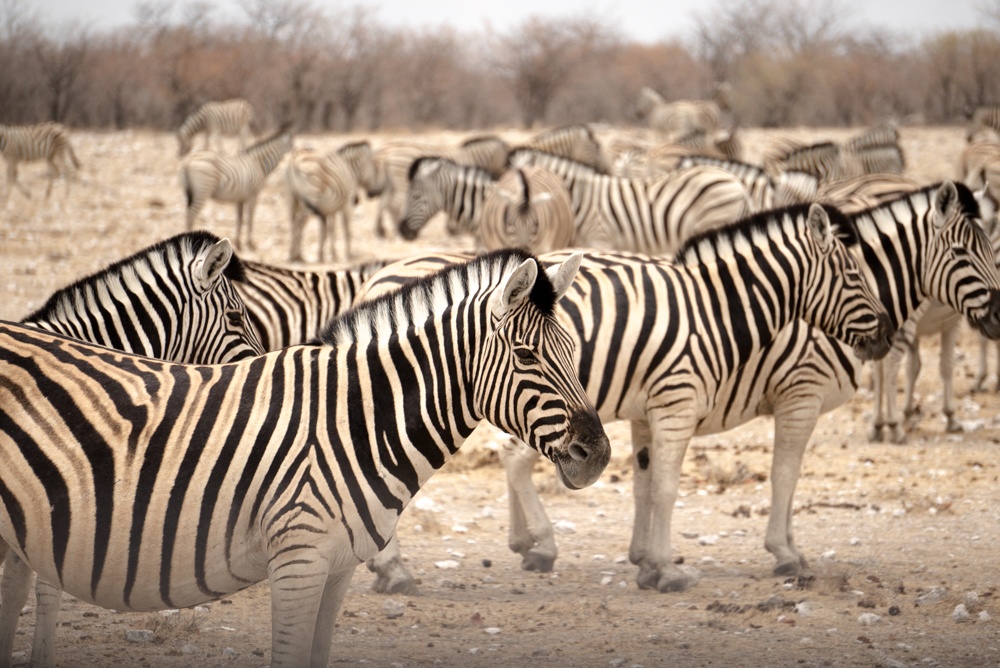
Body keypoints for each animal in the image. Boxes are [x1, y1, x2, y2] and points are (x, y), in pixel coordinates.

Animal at [366, 180, 1000, 592]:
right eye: (968, 251)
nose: (885, 336)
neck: (721, 309)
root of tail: (383, 272)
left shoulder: (650, 409)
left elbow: (648, 486)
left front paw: (647, 560)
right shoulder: (789, 395)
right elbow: (770, 477)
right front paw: (773, 556)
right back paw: (410, 568)